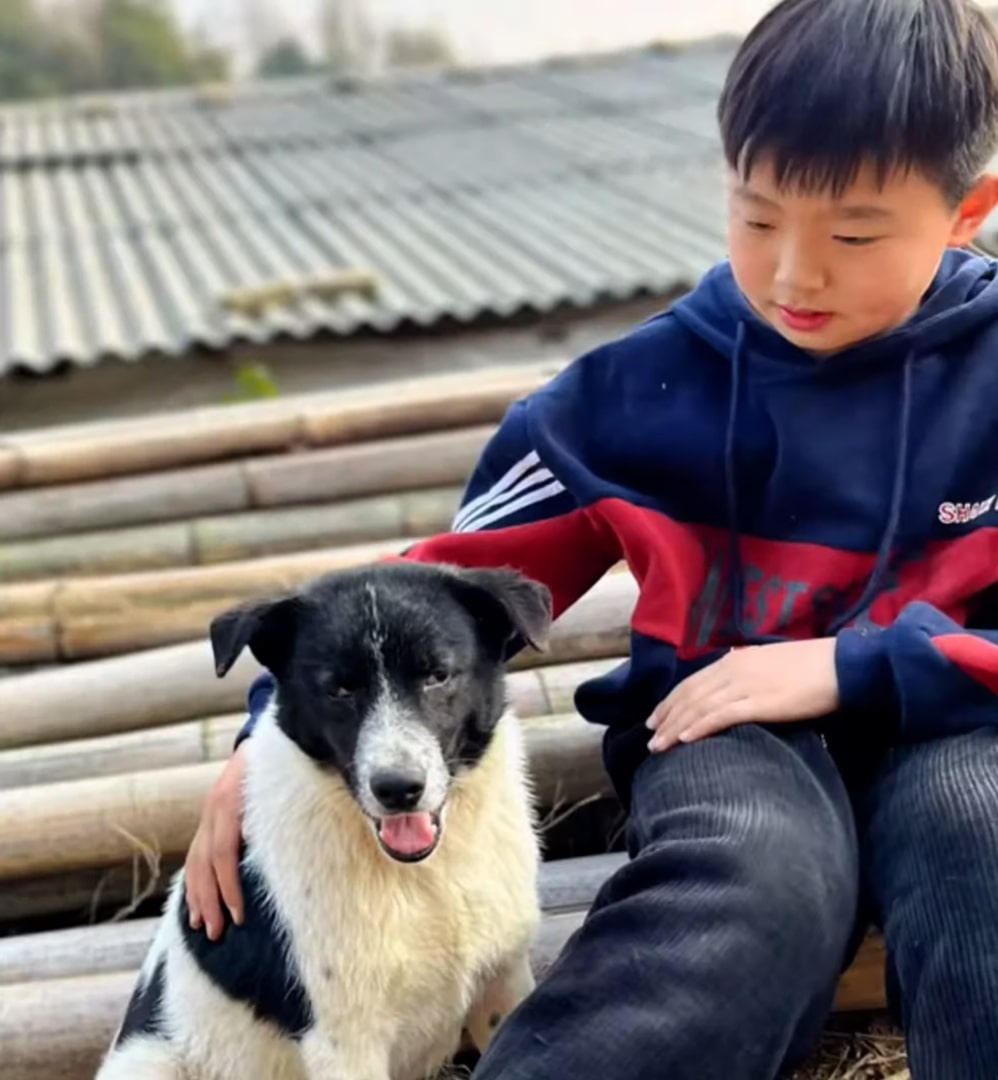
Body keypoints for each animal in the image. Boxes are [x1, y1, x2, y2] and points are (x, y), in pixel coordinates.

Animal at [96, 561, 548, 1080]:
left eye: (438, 675)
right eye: (338, 689)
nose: (398, 789)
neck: (425, 876)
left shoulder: (503, 978)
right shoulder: (343, 1041)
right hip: (150, 1061)